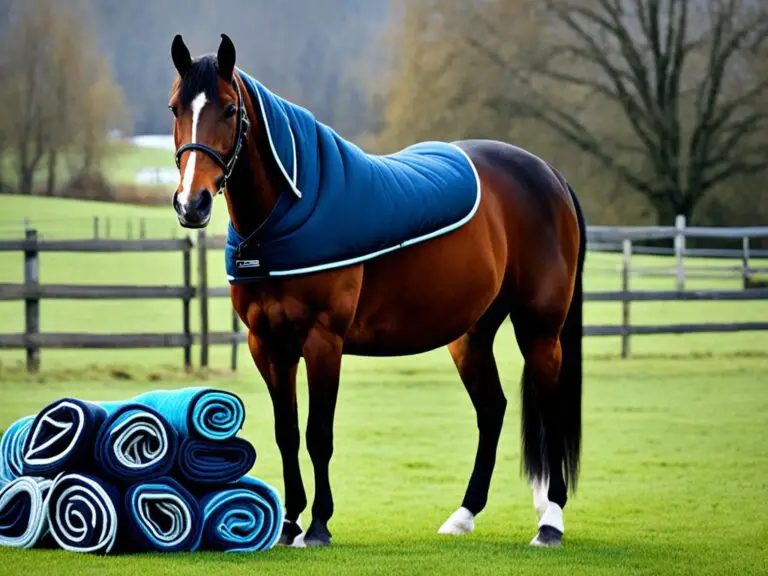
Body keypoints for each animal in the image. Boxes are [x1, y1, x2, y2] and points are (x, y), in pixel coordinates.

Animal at [168, 34, 585, 548]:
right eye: (174, 108)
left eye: (228, 109)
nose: (192, 203)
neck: (289, 211)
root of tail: (550, 175)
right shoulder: (267, 345)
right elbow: (287, 433)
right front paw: (288, 525)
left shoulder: (323, 341)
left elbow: (317, 434)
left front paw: (319, 526)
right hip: (470, 336)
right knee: (492, 410)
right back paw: (463, 514)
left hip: (540, 329)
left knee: (551, 411)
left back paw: (550, 522)